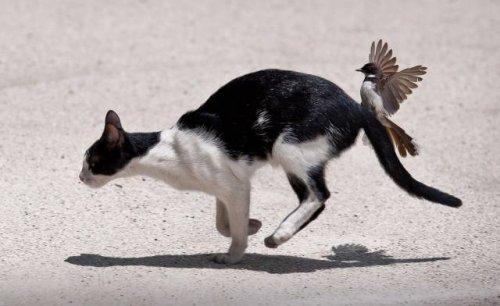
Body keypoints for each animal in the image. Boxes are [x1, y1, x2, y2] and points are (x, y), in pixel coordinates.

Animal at [80, 68, 462, 262]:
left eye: (92, 161)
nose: (80, 176)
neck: (166, 151)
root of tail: (357, 107)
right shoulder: (228, 187)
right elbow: (223, 222)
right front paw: (253, 225)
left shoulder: (235, 186)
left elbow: (231, 228)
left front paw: (235, 253)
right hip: (293, 161)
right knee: (314, 199)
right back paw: (278, 233)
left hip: (289, 147)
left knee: (319, 194)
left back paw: (279, 235)